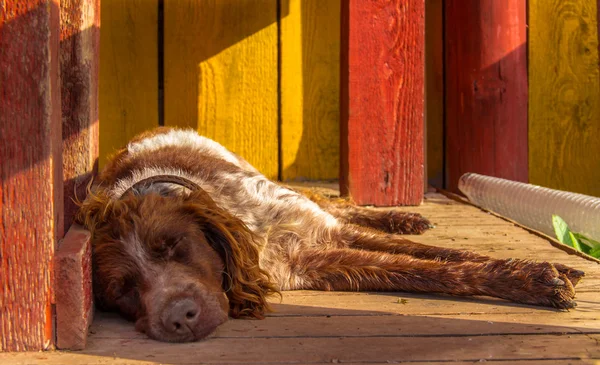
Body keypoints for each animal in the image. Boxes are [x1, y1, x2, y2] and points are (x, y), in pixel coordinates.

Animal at [77, 127, 584, 342]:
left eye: (176, 247)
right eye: (121, 292)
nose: (178, 319)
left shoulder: (322, 228)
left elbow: (441, 257)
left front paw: (543, 273)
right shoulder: (318, 263)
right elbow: (428, 271)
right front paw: (541, 275)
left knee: (336, 202)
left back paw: (403, 217)